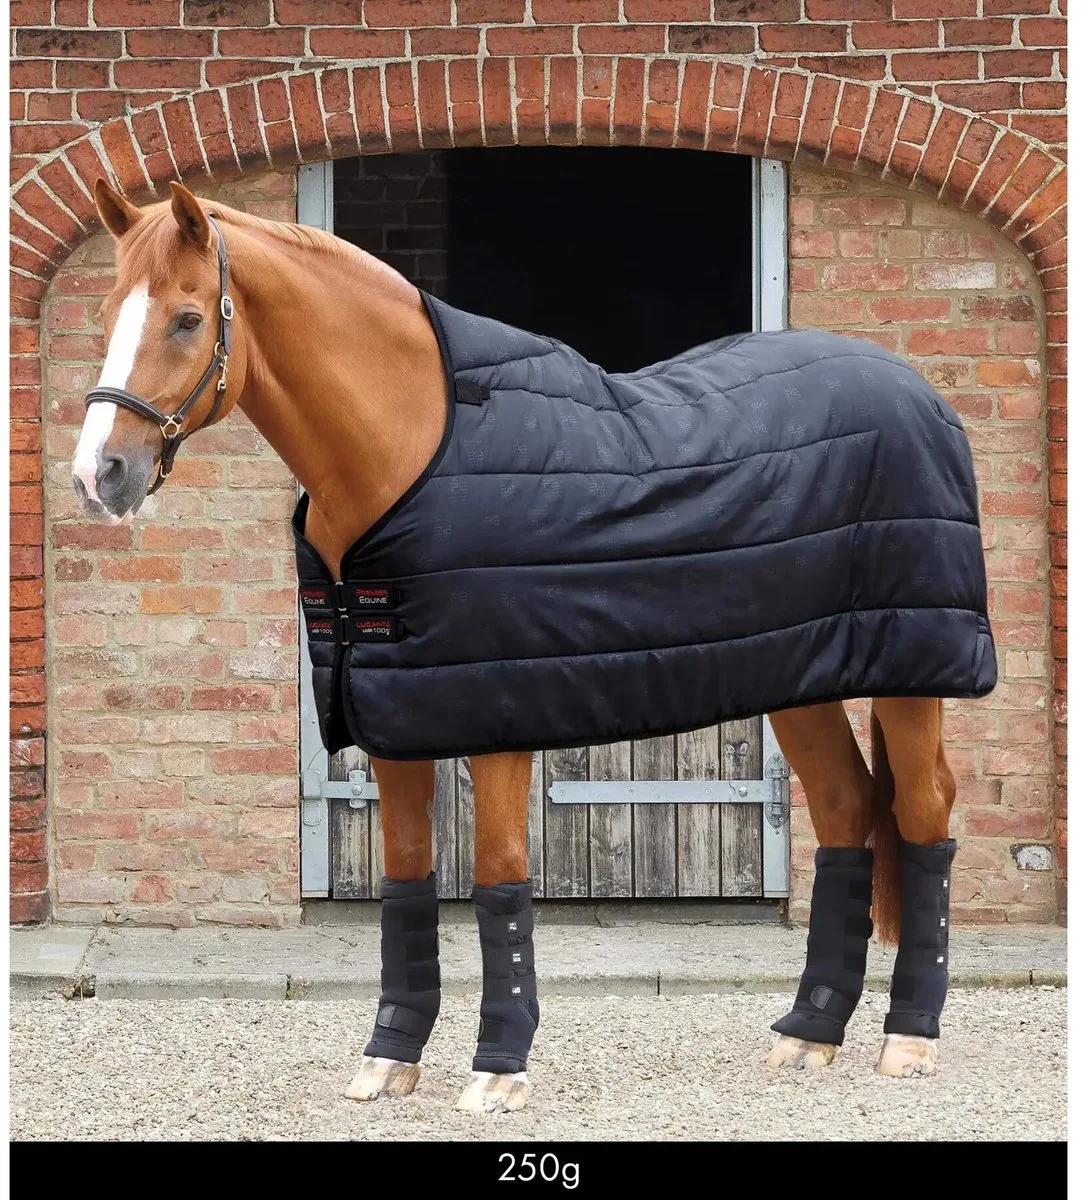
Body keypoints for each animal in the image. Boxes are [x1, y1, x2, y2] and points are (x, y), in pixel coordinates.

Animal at [71, 179, 976, 1114]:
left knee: (924, 813)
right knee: (842, 809)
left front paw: (497, 1070)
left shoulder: (496, 719)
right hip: (798, 676)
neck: (406, 452)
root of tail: (912, 389)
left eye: (185, 319)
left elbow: (499, 877)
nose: (98, 476)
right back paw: (809, 1034)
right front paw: (389, 1055)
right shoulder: (393, 714)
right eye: (106, 312)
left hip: (912, 674)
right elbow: (406, 878)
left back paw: (908, 1039)